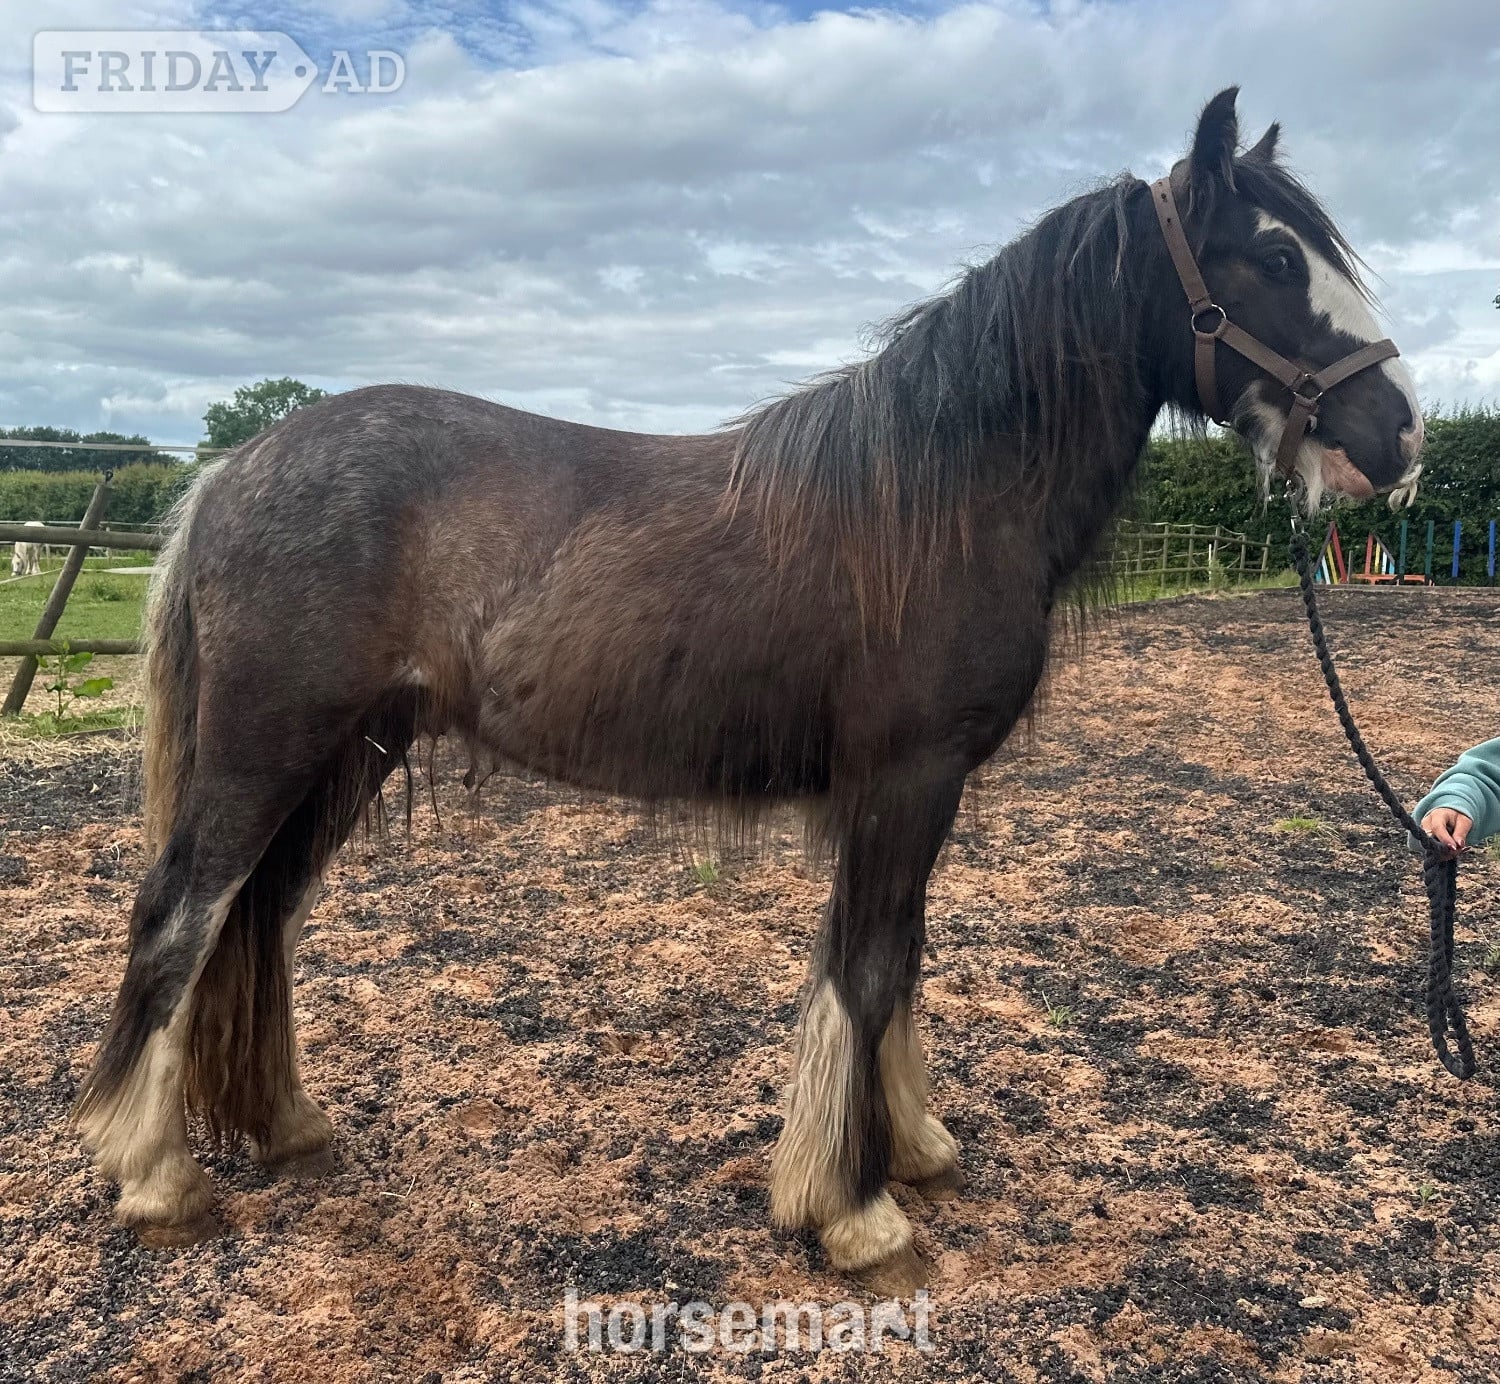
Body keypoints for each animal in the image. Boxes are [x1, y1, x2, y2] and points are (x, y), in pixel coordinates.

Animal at [74, 89, 1424, 1287]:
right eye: (1275, 254)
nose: (1399, 436)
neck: (937, 498)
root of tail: (235, 468)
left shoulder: (907, 791)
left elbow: (896, 957)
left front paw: (911, 1149)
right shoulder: (904, 778)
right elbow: (867, 970)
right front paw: (857, 1212)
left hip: (352, 750)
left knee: (259, 915)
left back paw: (284, 1128)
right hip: (268, 745)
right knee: (182, 915)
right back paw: (155, 1177)